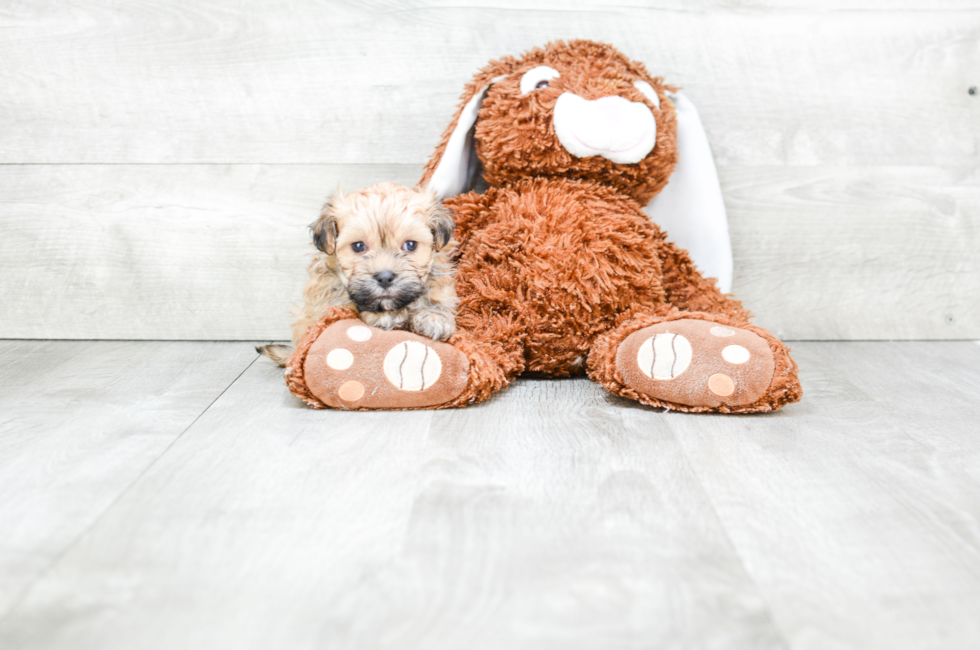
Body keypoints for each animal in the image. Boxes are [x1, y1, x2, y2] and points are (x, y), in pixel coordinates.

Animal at [260, 181, 460, 364]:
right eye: (358, 246)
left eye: (410, 245)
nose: (385, 278)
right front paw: (387, 316)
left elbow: (437, 301)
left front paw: (434, 317)